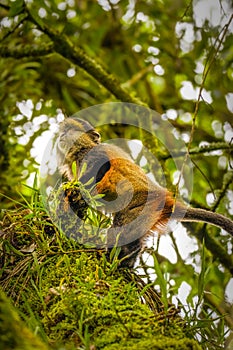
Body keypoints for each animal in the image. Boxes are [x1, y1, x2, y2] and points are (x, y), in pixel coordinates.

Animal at [56, 119, 233, 266]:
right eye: (62, 131)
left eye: (70, 130)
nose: (62, 135)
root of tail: (166, 199)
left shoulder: (94, 154)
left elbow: (102, 167)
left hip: (142, 208)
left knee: (122, 231)